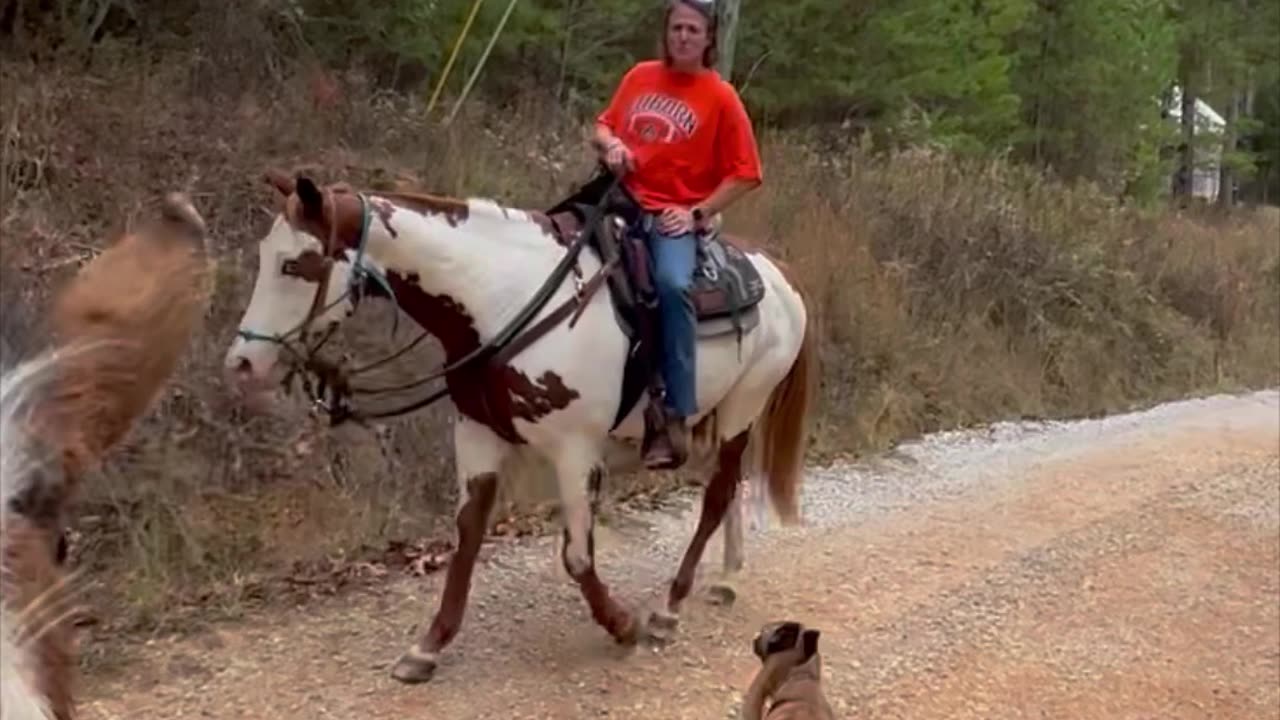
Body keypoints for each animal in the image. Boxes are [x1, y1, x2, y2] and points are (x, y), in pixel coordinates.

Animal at [224, 170, 814, 681]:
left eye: (293, 265)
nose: (242, 363)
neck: (499, 300)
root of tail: (781, 277)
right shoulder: (476, 433)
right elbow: (466, 538)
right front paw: (428, 647)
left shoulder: (575, 451)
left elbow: (577, 556)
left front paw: (623, 625)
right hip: (713, 414)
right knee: (729, 486)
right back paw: (726, 579)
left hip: (744, 406)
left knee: (716, 493)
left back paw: (670, 608)